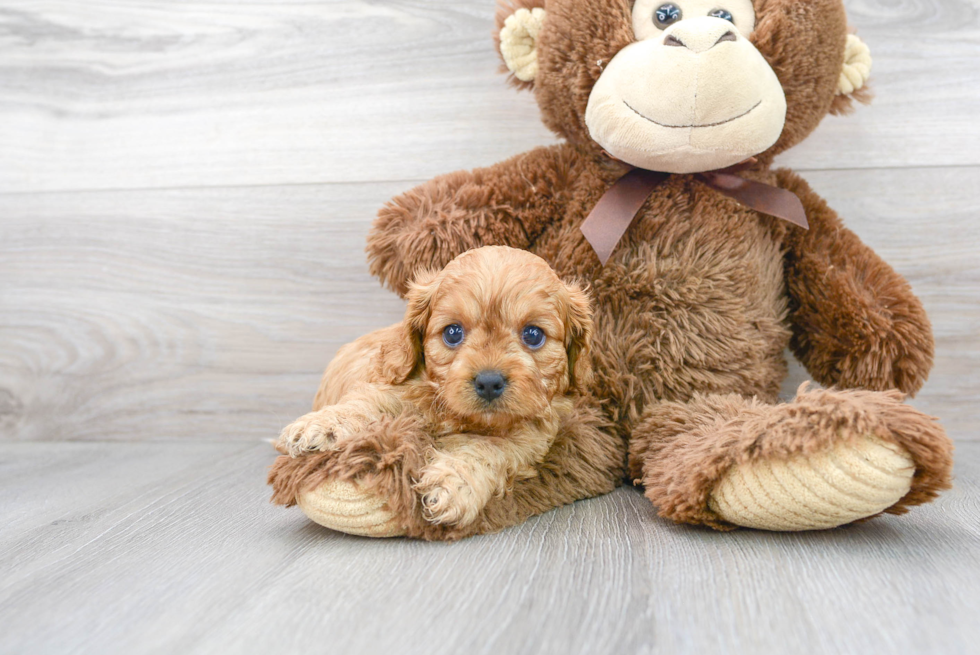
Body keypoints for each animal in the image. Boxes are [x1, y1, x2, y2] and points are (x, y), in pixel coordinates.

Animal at [278, 246, 596, 528]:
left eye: (533, 335)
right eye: (452, 333)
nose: (489, 382)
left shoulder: (530, 437)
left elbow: (489, 448)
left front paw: (452, 484)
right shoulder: (394, 390)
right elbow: (366, 404)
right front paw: (321, 426)